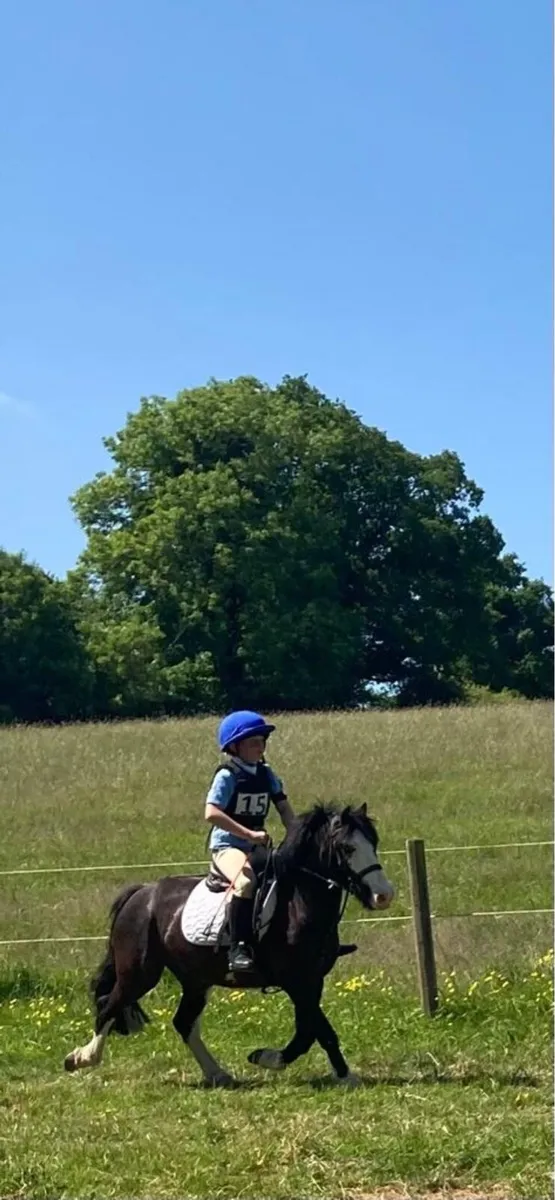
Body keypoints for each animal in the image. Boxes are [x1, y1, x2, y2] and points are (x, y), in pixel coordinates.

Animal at [64, 802, 395, 1087]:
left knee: (183, 1022)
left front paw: (288, 1061)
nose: (384, 895)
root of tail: (141, 894)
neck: (298, 903)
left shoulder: (312, 981)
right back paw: (81, 1058)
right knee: (109, 1005)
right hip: (140, 973)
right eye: (348, 848)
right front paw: (271, 1059)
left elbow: (308, 1030)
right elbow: (319, 1030)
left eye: (374, 842)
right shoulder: (295, 981)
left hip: (196, 980)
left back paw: (218, 1074)